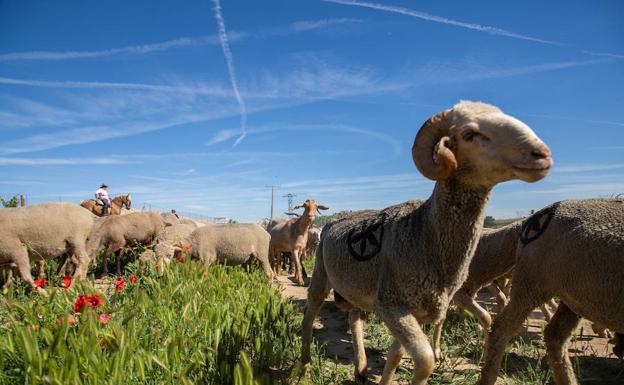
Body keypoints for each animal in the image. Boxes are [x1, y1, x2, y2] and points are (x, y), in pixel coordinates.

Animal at [302, 100, 552, 382]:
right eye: (469, 134)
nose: (542, 155)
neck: (424, 233)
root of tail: (338, 217)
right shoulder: (393, 305)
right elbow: (425, 360)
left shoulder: (419, 311)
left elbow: (396, 356)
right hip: (321, 274)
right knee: (309, 316)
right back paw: (305, 368)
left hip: (357, 289)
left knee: (354, 318)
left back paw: (361, 367)